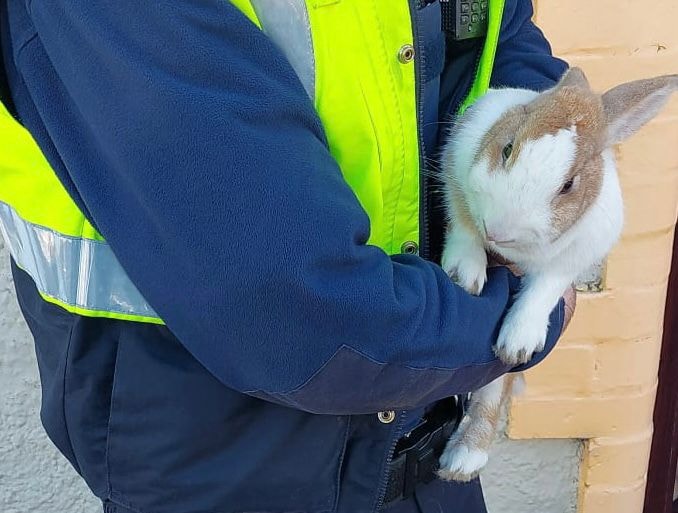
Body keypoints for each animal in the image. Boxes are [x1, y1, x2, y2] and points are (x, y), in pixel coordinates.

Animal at [436, 68, 678, 482]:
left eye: (568, 185)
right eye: (507, 148)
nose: (497, 230)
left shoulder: (577, 255)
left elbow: (545, 289)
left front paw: (518, 342)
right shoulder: (457, 169)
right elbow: (464, 223)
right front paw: (463, 275)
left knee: (492, 393)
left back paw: (463, 461)